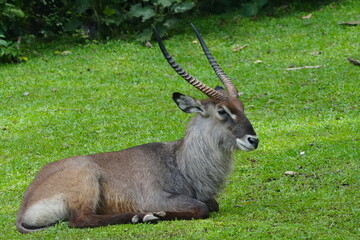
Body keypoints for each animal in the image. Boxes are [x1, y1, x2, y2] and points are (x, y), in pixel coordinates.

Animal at [16, 23, 258, 233]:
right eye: (222, 111)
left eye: (242, 107)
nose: (253, 140)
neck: (180, 161)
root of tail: (25, 205)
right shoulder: (156, 196)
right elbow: (202, 207)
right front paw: (157, 213)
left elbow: (212, 204)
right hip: (86, 178)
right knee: (79, 220)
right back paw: (142, 216)